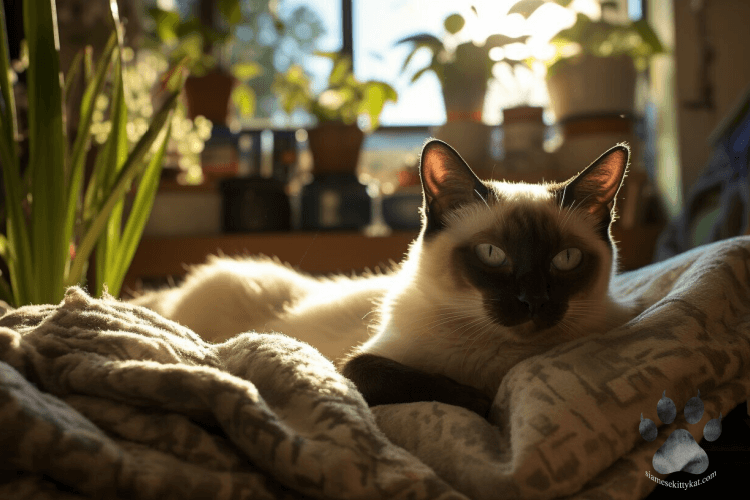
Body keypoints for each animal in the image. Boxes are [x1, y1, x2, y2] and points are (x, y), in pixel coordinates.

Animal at [134, 139, 636, 416]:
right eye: (493, 255)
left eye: (565, 259)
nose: (533, 301)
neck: (500, 358)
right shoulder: (357, 366)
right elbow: (429, 384)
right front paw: (482, 402)